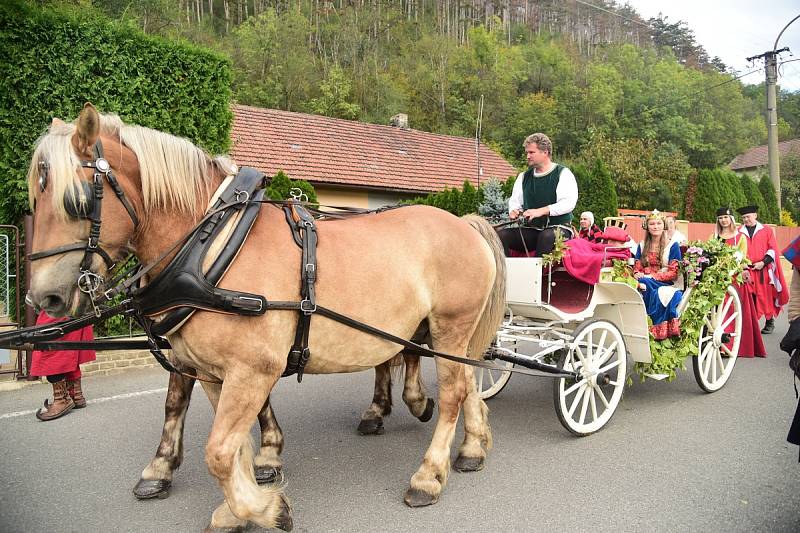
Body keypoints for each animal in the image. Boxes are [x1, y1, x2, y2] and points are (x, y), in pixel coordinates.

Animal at [29, 103, 506, 528]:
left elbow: (219, 452)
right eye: (34, 198)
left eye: (75, 201)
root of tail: (465, 222)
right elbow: (231, 446)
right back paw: (472, 448)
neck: (211, 245)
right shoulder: (214, 373)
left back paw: (428, 476)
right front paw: (241, 503)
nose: (43, 297)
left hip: (449, 327)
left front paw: (264, 508)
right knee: (467, 380)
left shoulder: (252, 370)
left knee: (452, 393)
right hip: (442, 334)